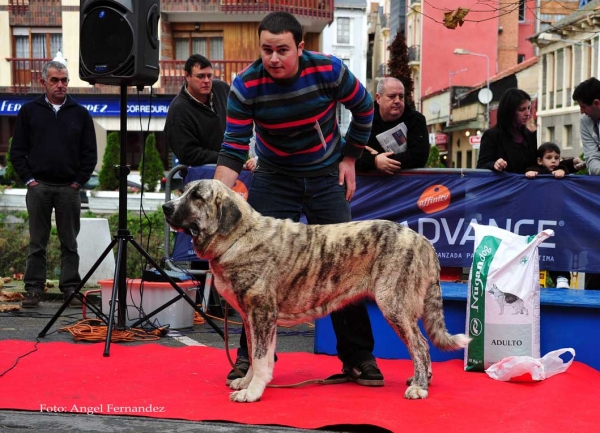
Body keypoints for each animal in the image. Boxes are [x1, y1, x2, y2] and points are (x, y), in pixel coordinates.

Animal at [163, 179, 468, 402]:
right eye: (184, 191)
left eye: (197, 197)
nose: (166, 207)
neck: (239, 236)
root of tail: (423, 240)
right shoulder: (252, 319)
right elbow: (256, 355)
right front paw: (248, 382)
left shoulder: (262, 314)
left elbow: (260, 357)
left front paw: (252, 392)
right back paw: (421, 379)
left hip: (395, 305)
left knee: (420, 345)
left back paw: (419, 387)